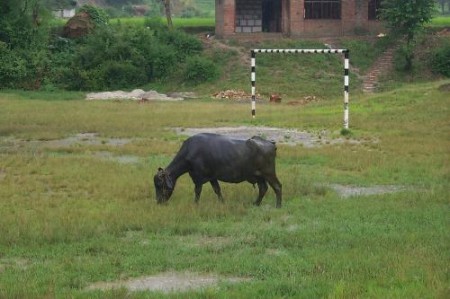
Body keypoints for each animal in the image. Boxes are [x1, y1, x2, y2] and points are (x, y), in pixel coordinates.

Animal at [153, 134, 284, 209]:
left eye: (160, 185)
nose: (158, 202)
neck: (190, 152)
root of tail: (270, 143)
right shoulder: (212, 177)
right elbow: (217, 190)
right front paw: (222, 202)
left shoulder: (198, 178)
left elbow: (197, 192)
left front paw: (195, 204)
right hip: (259, 176)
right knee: (263, 188)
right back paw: (256, 204)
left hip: (269, 173)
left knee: (277, 186)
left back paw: (278, 206)